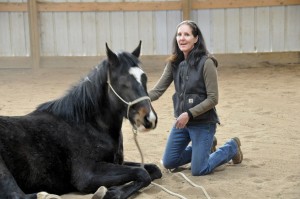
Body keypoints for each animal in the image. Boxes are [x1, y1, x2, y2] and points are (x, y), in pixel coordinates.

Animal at [0, 42, 162, 199]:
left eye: (144, 78)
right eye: (122, 82)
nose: (150, 119)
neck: (89, 125)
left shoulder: (117, 162)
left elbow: (153, 170)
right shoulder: (88, 175)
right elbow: (142, 173)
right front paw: (111, 193)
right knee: (17, 195)